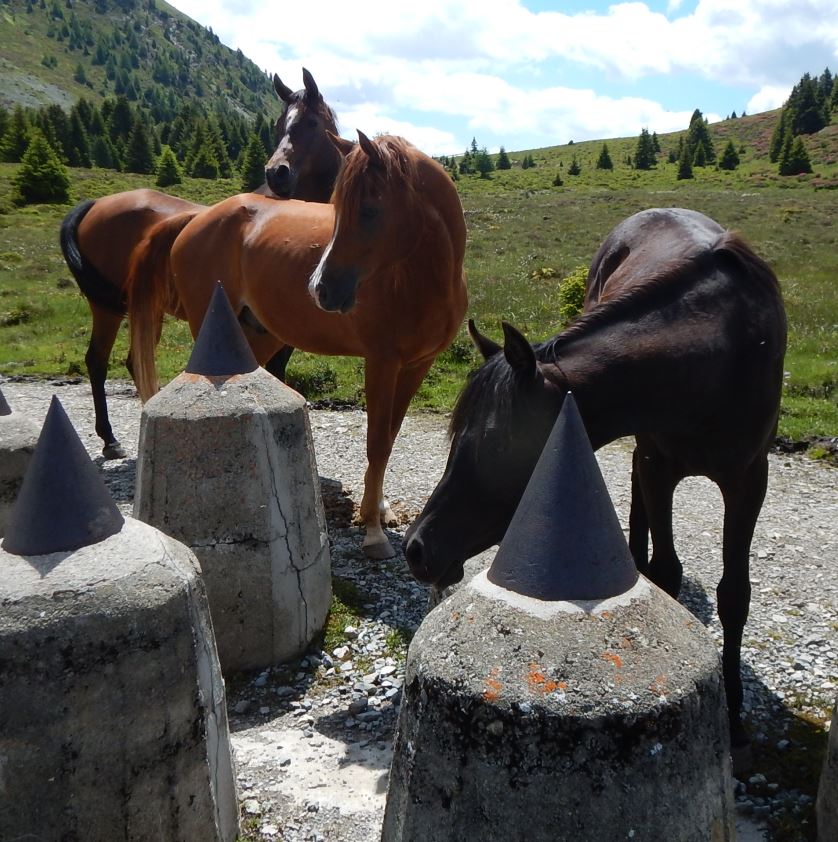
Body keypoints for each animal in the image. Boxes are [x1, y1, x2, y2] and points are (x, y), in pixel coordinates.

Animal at [59, 68, 340, 458]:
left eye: (311, 122)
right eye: (279, 123)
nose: (277, 173)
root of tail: (95, 204)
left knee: (130, 360)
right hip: (109, 308)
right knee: (98, 361)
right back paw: (110, 439)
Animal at [126, 132, 468, 560]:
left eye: (370, 210)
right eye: (338, 209)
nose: (321, 289)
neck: (420, 279)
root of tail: (197, 218)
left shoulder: (416, 366)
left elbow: (388, 440)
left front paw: (380, 510)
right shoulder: (381, 363)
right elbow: (376, 444)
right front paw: (372, 532)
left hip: (255, 338)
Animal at [403, 207, 787, 758]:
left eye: (496, 442)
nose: (416, 548)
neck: (719, 354)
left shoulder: (749, 480)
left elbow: (734, 595)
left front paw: (733, 715)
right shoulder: (657, 463)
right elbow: (667, 569)